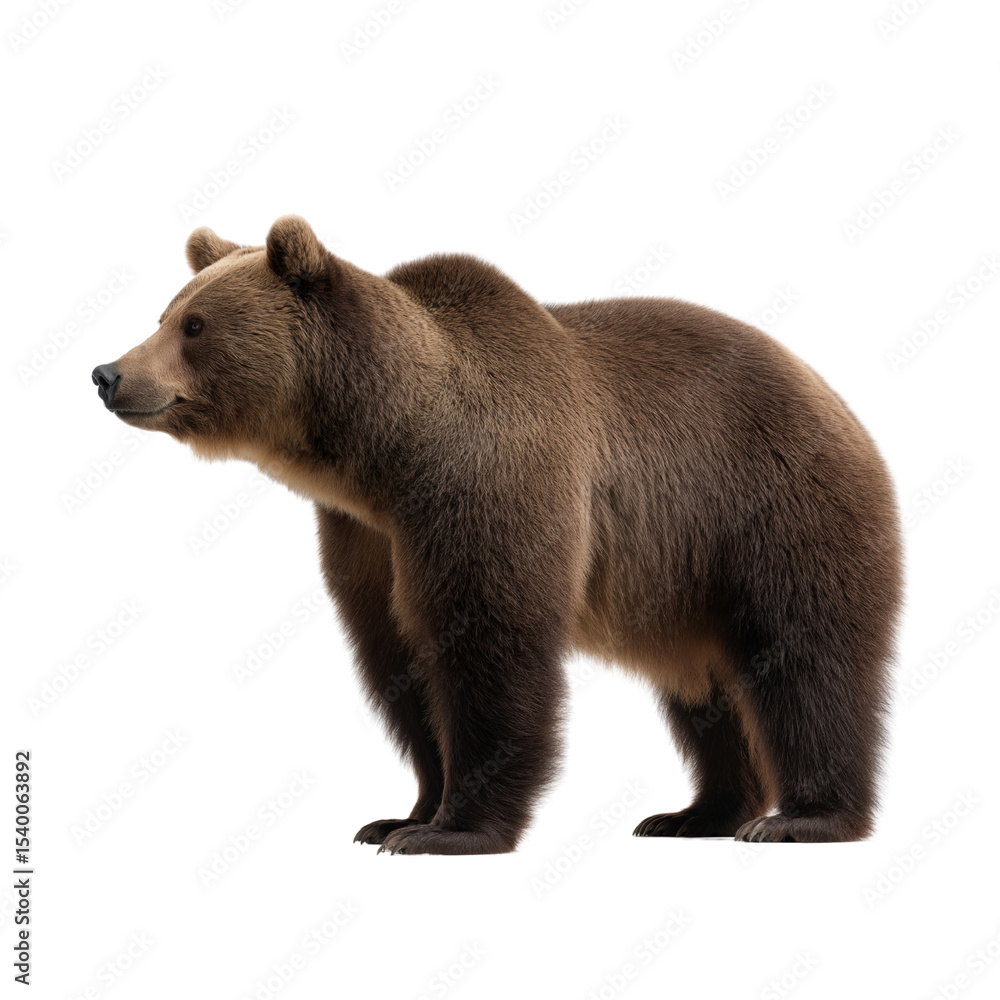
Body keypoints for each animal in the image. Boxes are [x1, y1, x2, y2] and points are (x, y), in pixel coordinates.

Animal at [92, 216, 902, 854]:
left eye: (195, 326)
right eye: (164, 313)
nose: (108, 373)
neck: (388, 449)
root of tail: (835, 397)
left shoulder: (486, 488)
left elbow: (487, 642)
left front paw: (448, 830)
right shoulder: (367, 536)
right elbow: (399, 661)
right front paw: (397, 817)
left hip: (771, 510)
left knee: (806, 659)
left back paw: (803, 818)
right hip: (682, 579)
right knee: (702, 688)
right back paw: (696, 814)